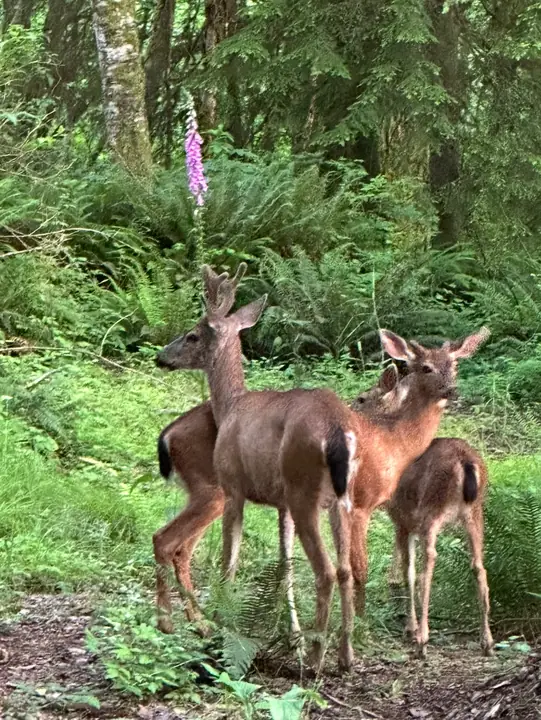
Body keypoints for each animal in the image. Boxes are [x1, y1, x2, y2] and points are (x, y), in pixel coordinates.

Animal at [157, 262, 489, 671]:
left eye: (191, 335)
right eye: (428, 366)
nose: (161, 356)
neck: (232, 404)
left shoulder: (236, 487)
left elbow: (229, 562)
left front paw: (227, 625)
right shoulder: (286, 502)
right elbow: (285, 565)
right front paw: (292, 636)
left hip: (291, 493)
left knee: (326, 569)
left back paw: (313, 655)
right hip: (333, 500)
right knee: (344, 569)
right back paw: (343, 652)